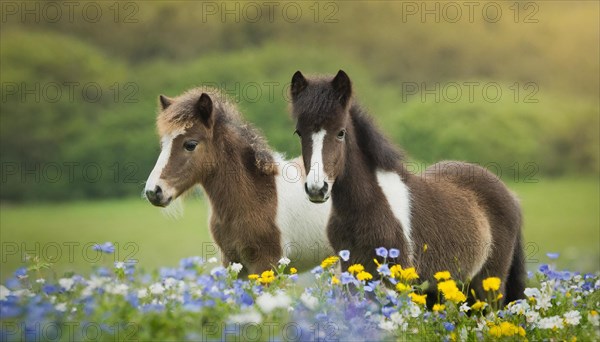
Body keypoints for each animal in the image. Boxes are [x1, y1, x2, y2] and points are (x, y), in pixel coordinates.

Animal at [145, 87, 332, 276]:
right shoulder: (232, 262)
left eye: (190, 144)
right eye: (163, 144)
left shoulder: (267, 262)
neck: (256, 195)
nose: (153, 191)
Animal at [290, 70, 524, 304]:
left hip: (487, 286)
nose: (316, 189)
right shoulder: (351, 270)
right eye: (299, 133)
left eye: (340, 132)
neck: (366, 206)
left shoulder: (398, 275)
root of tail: (511, 195)